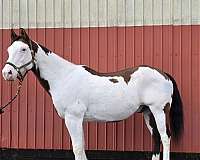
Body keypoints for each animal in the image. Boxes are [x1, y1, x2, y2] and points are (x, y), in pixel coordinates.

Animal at [1, 28, 184, 160]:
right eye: (9, 49)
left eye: (23, 49)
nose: (7, 73)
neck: (64, 77)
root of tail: (164, 74)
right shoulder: (78, 120)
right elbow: (81, 149)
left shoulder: (73, 118)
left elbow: (77, 149)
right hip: (148, 112)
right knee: (156, 139)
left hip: (159, 110)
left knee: (165, 137)